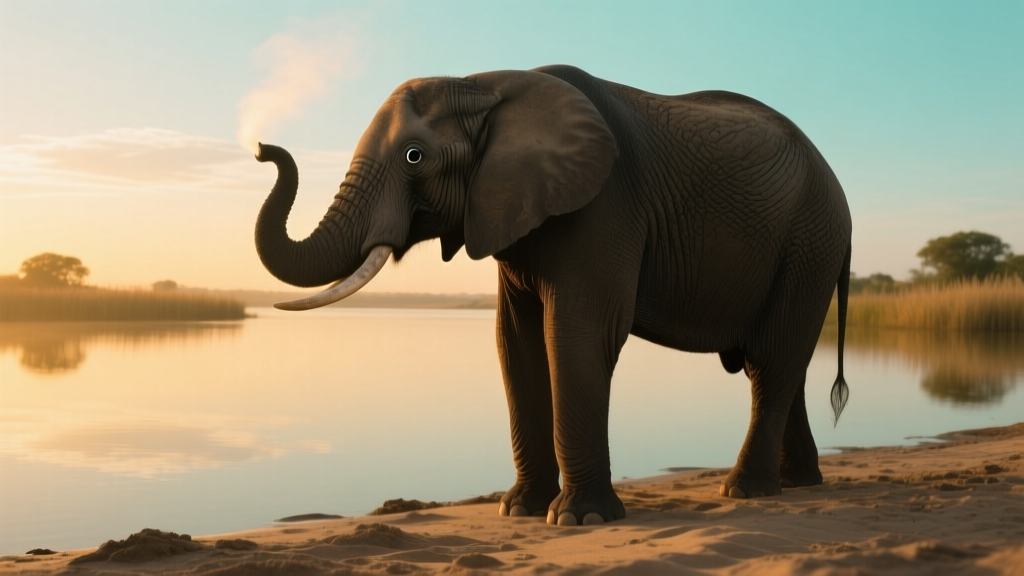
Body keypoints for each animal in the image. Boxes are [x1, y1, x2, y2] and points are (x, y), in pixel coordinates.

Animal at [253, 64, 852, 527]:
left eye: (414, 157)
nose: (262, 148)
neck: (483, 85)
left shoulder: (605, 205)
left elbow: (577, 334)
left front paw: (580, 519)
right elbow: (514, 342)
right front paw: (517, 510)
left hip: (808, 242)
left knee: (772, 359)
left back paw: (745, 491)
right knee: (780, 364)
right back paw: (798, 483)